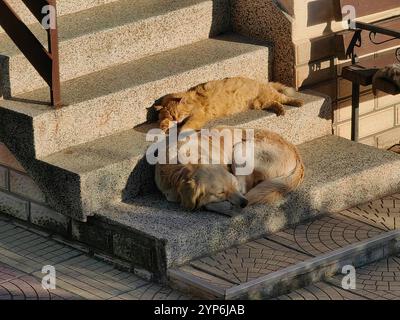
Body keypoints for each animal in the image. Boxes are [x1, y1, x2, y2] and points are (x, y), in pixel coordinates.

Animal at [155, 77, 304, 132]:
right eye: (172, 115)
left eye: (179, 113)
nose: (176, 119)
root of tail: (262, 82)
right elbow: (164, 121)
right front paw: (164, 125)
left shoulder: (198, 116)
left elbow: (187, 126)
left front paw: (181, 130)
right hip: (261, 103)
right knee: (276, 103)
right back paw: (281, 110)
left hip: (270, 96)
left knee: (285, 98)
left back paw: (298, 102)